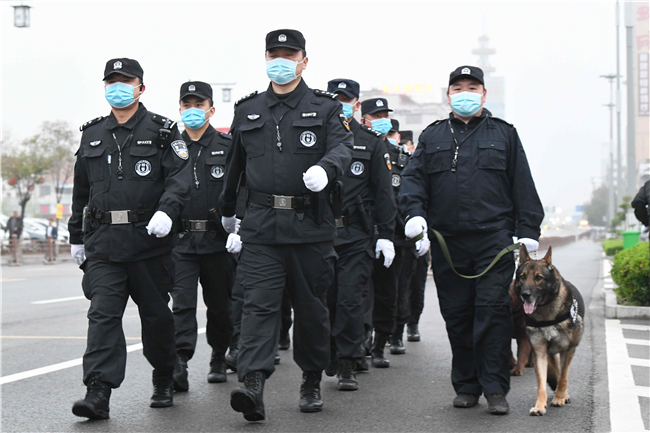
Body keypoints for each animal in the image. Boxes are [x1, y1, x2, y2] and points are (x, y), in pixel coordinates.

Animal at [514, 245, 585, 416]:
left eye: (539, 278)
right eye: (522, 277)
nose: (525, 295)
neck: (546, 314)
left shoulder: (568, 350)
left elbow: (563, 377)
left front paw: (559, 398)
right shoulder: (539, 352)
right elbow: (541, 384)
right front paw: (540, 406)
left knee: (561, 374)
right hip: (549, 352)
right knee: (554, 371)